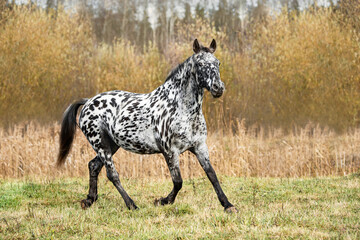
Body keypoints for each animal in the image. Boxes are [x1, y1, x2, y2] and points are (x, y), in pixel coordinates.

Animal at [56, 39, 238, 214]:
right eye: (200, 64)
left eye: (218, 63)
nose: (218, 88)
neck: (181, 107)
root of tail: (88, 102)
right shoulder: (170, 151)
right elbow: (178, 181)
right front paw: (163, 201)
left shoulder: (200, 147)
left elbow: (212, 175)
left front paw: (228, 205)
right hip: (101, 145)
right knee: (112, 174)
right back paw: (131, 205)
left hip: (111, 144)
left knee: (93, 166)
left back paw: (89, 200)